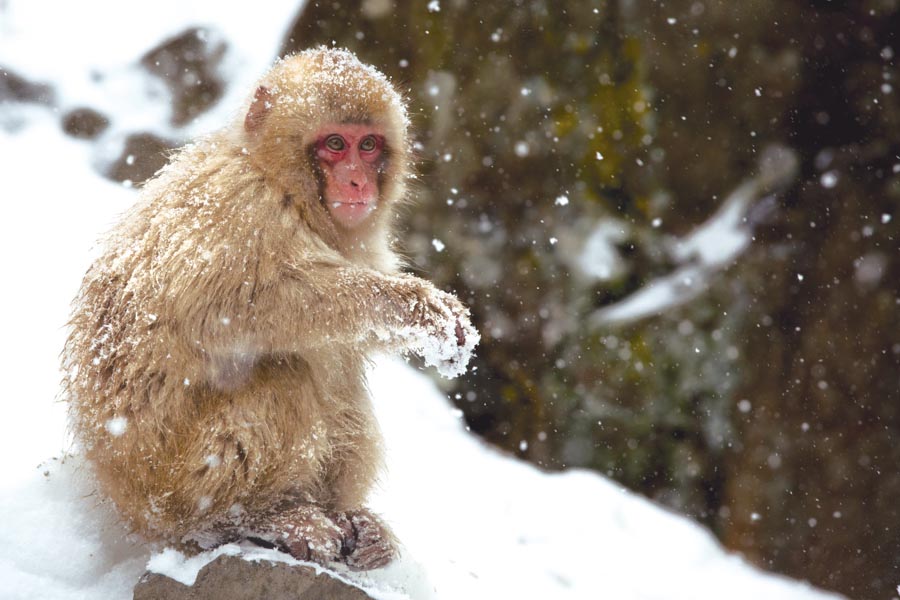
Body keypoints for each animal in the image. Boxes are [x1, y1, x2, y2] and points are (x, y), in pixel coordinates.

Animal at [62, 48, 478, 572]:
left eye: (368, 145)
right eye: (335, 144)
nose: (357, 181)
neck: (280, 183)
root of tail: (118, 492)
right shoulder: (237, 207)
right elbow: (225, 309)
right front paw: (412, 305)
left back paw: (352, 523)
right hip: (168, 487)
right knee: (286, 375)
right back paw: (251, 518)